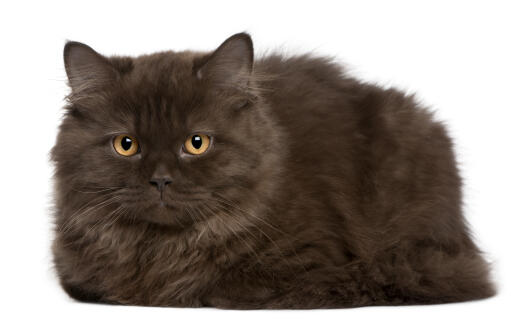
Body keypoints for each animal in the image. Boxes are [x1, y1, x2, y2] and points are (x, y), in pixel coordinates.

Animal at [52, 31, 496, 308]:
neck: (160, 248)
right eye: (126, 145)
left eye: (197, 143)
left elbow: (216, 284)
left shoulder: (311, 262)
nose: (160, 179)